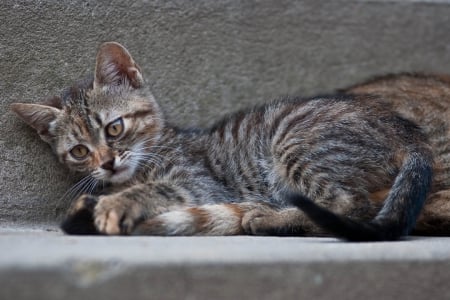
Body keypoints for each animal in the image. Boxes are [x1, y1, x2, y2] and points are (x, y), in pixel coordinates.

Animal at [11, 41, 440, 241]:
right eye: (79, 151)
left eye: (114, 128)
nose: (106, 162)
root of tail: (409, 133)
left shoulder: (200, 183)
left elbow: (159, 188)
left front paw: (119, 203)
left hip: (294, 140)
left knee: (352, 206)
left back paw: (268, 217)